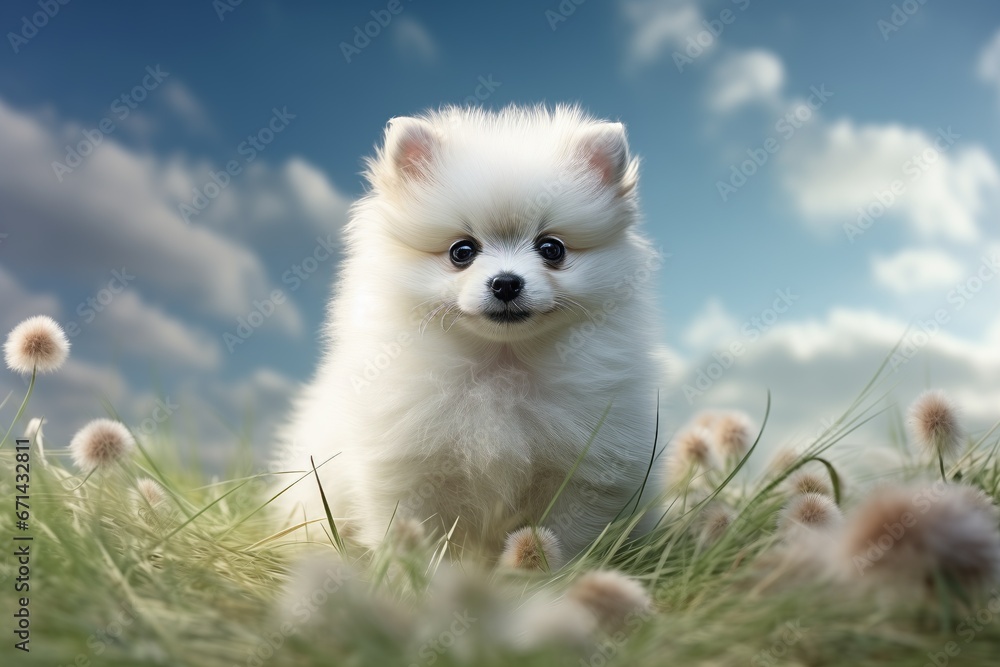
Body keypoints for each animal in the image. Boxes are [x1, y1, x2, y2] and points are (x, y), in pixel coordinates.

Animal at [274, 105, 664, 564]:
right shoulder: (410, 469)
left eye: (552, 249)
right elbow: (420, 538)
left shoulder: (589, 471)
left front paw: (554, 573)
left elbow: (566, 534)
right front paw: (423, 577)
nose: (506, 283)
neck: (501, 363)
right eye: (462, 252)